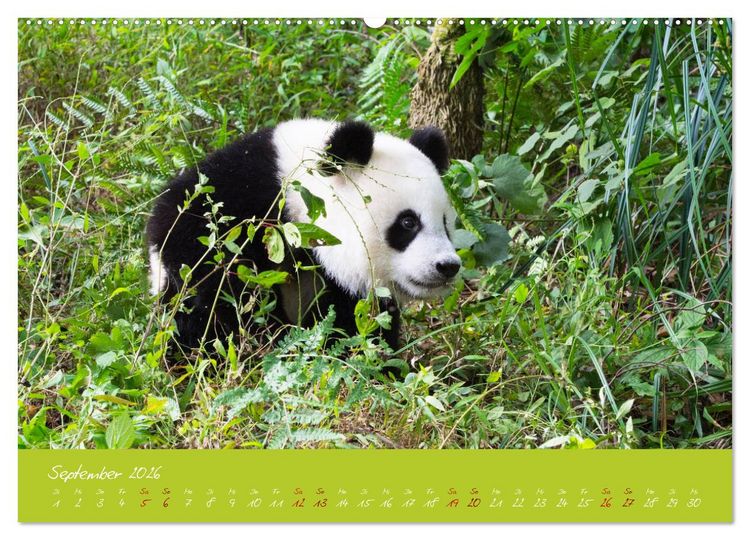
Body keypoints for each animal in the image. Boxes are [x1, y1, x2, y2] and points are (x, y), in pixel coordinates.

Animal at [146, 119, 461, 351]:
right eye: (408, 222)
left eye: (446, 223)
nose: (447, 266)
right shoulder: (240, 195)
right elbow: (199, 255)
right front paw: (263, 334)